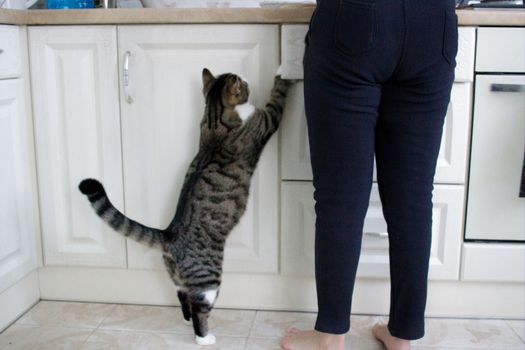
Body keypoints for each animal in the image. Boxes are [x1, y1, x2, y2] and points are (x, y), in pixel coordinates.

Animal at [78, 68, 292, 344]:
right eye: (243, 84)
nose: (246, 78)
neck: (215, 118)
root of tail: (169, 234)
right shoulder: (266, 120)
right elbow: (277, 96)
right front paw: (283, 70)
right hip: (209, 278)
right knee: (200, 306)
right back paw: (204, 337)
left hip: (176, 275)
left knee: (182, 295)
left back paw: (187, 319)